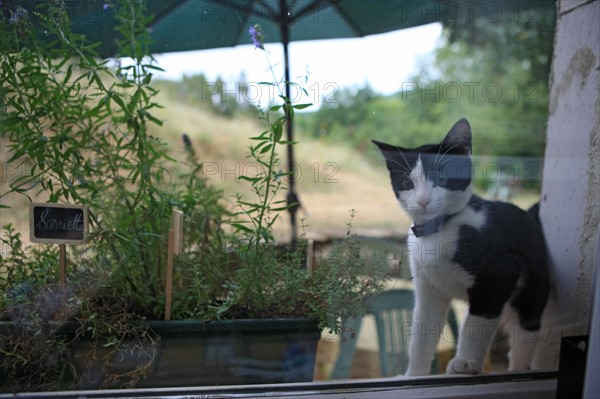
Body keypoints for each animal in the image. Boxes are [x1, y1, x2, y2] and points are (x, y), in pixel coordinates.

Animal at [372, 120, 552, 376]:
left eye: (441, 177)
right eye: (407, 183)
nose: (423, 200)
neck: (438, 231)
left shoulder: (500, 271)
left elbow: (477, 324)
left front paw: (466, 363)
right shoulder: (428, 288)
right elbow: (421, 335)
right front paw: (413, 374)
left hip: (532, 289)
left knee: (525, 332)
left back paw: (517, 370)